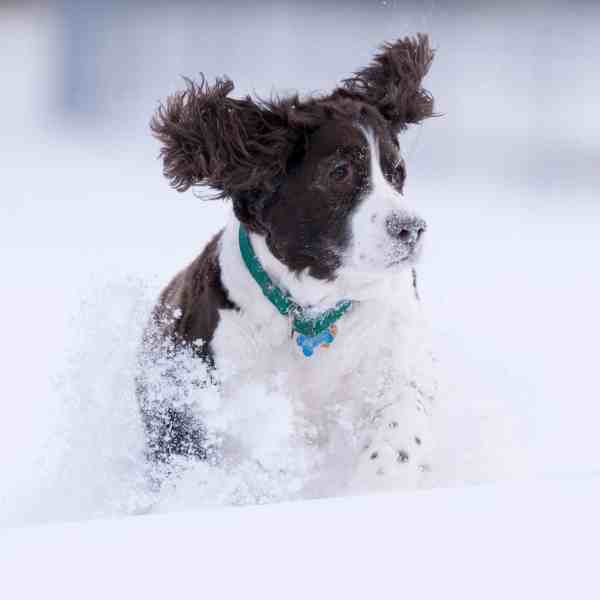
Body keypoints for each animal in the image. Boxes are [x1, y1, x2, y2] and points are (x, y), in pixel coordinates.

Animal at [139, 36, 440, 496]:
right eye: (339, 171)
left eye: (397, 172)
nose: (411, 229)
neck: (310, 313)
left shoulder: (393, 351)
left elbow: (399, 422)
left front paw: (379, 483)